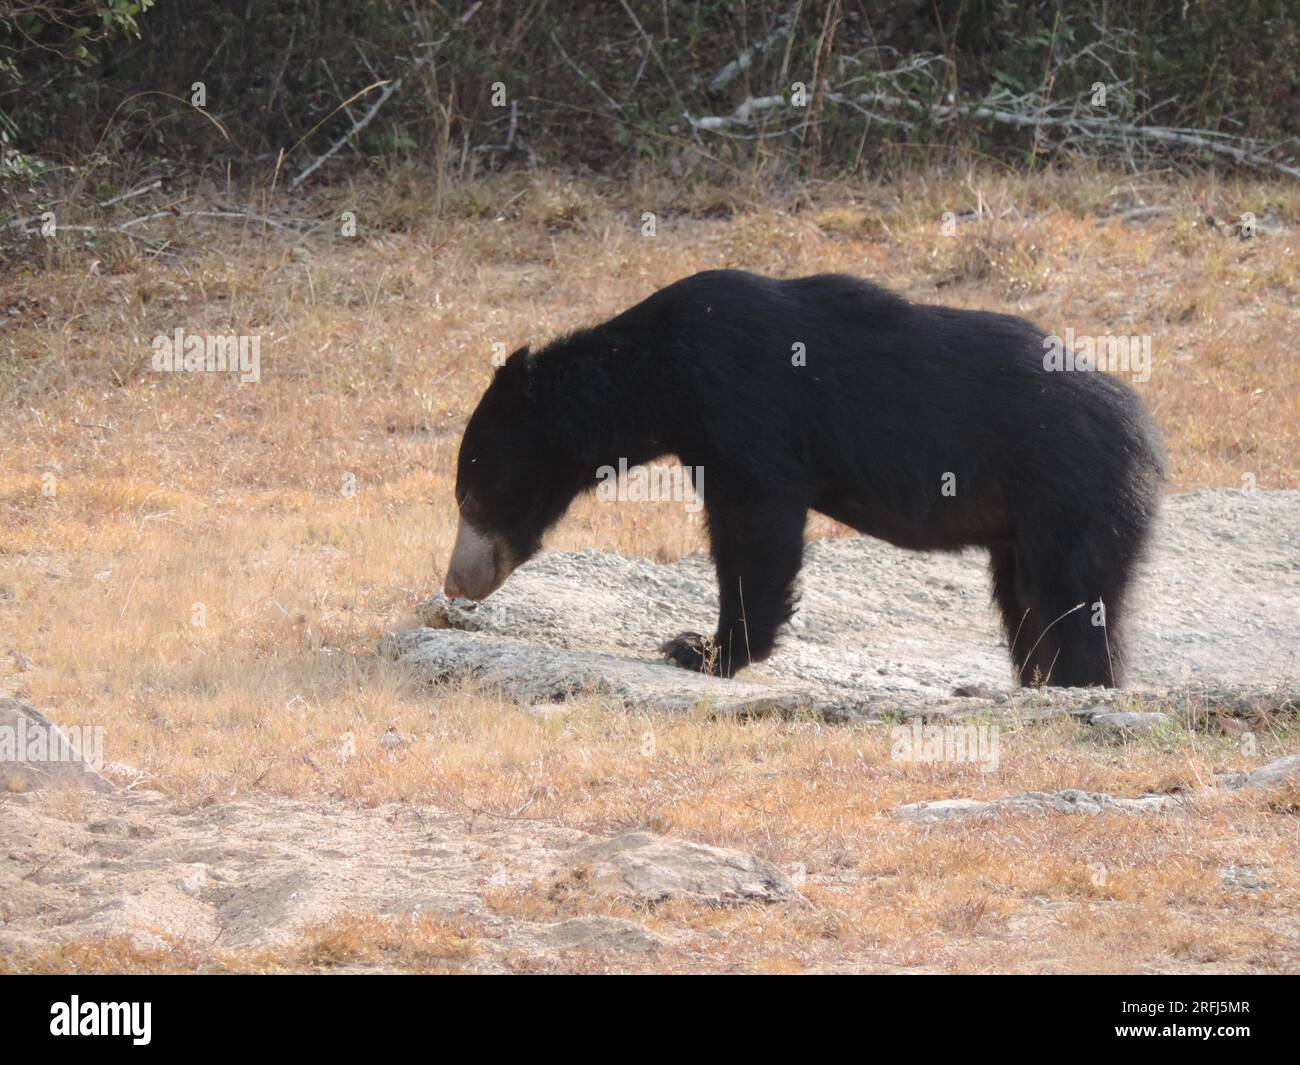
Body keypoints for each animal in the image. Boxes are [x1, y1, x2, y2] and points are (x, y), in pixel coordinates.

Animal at [443, 269, 1164, 688]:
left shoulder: (745, 408)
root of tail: (1146, 432)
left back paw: (1080, 682)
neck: (659, 377)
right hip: (1026, 523)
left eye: (471, 495)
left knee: (1074, 596)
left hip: (1070, 496)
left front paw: (702, 648)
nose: (455, 584)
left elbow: (756, 526)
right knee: (1029, 604)